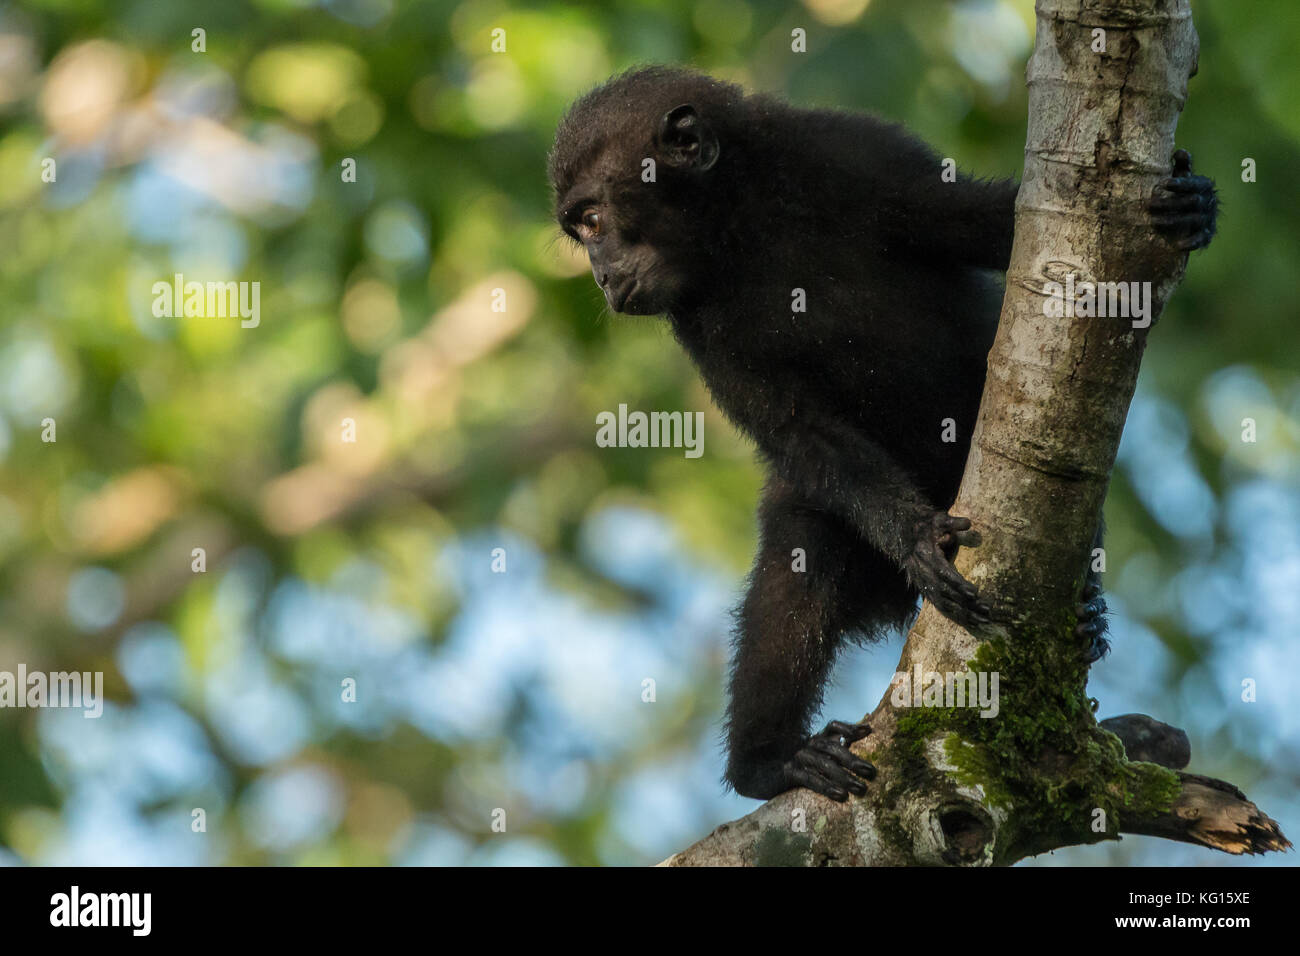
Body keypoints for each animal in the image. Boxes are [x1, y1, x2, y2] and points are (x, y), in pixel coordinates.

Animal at [548, 67, 1219, 802]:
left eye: (593, 221)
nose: (600, 274)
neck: (740, 225)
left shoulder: (863, 155)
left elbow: (1000, 227)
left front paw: (1191, 206)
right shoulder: (693, 315)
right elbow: (799, 431)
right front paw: (916, 534)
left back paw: (1084, 619)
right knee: (798, 562)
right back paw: (769, 762)